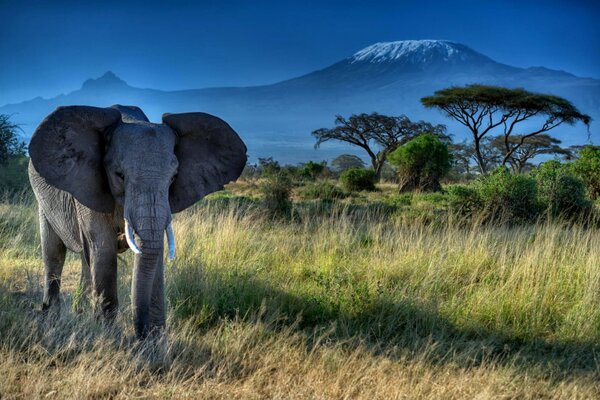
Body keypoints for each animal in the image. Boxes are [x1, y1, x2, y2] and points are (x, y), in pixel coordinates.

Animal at [27, 104, 248, 340]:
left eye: (173, 178)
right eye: (119, 175)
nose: (140, 335)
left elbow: (154, 253)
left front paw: (156, 341)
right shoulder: (88, 185)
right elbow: (103, 249)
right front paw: (108, 337)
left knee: (86, 259)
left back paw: (79, 313)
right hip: (43, 198)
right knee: (54, 252)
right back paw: (51, 316)